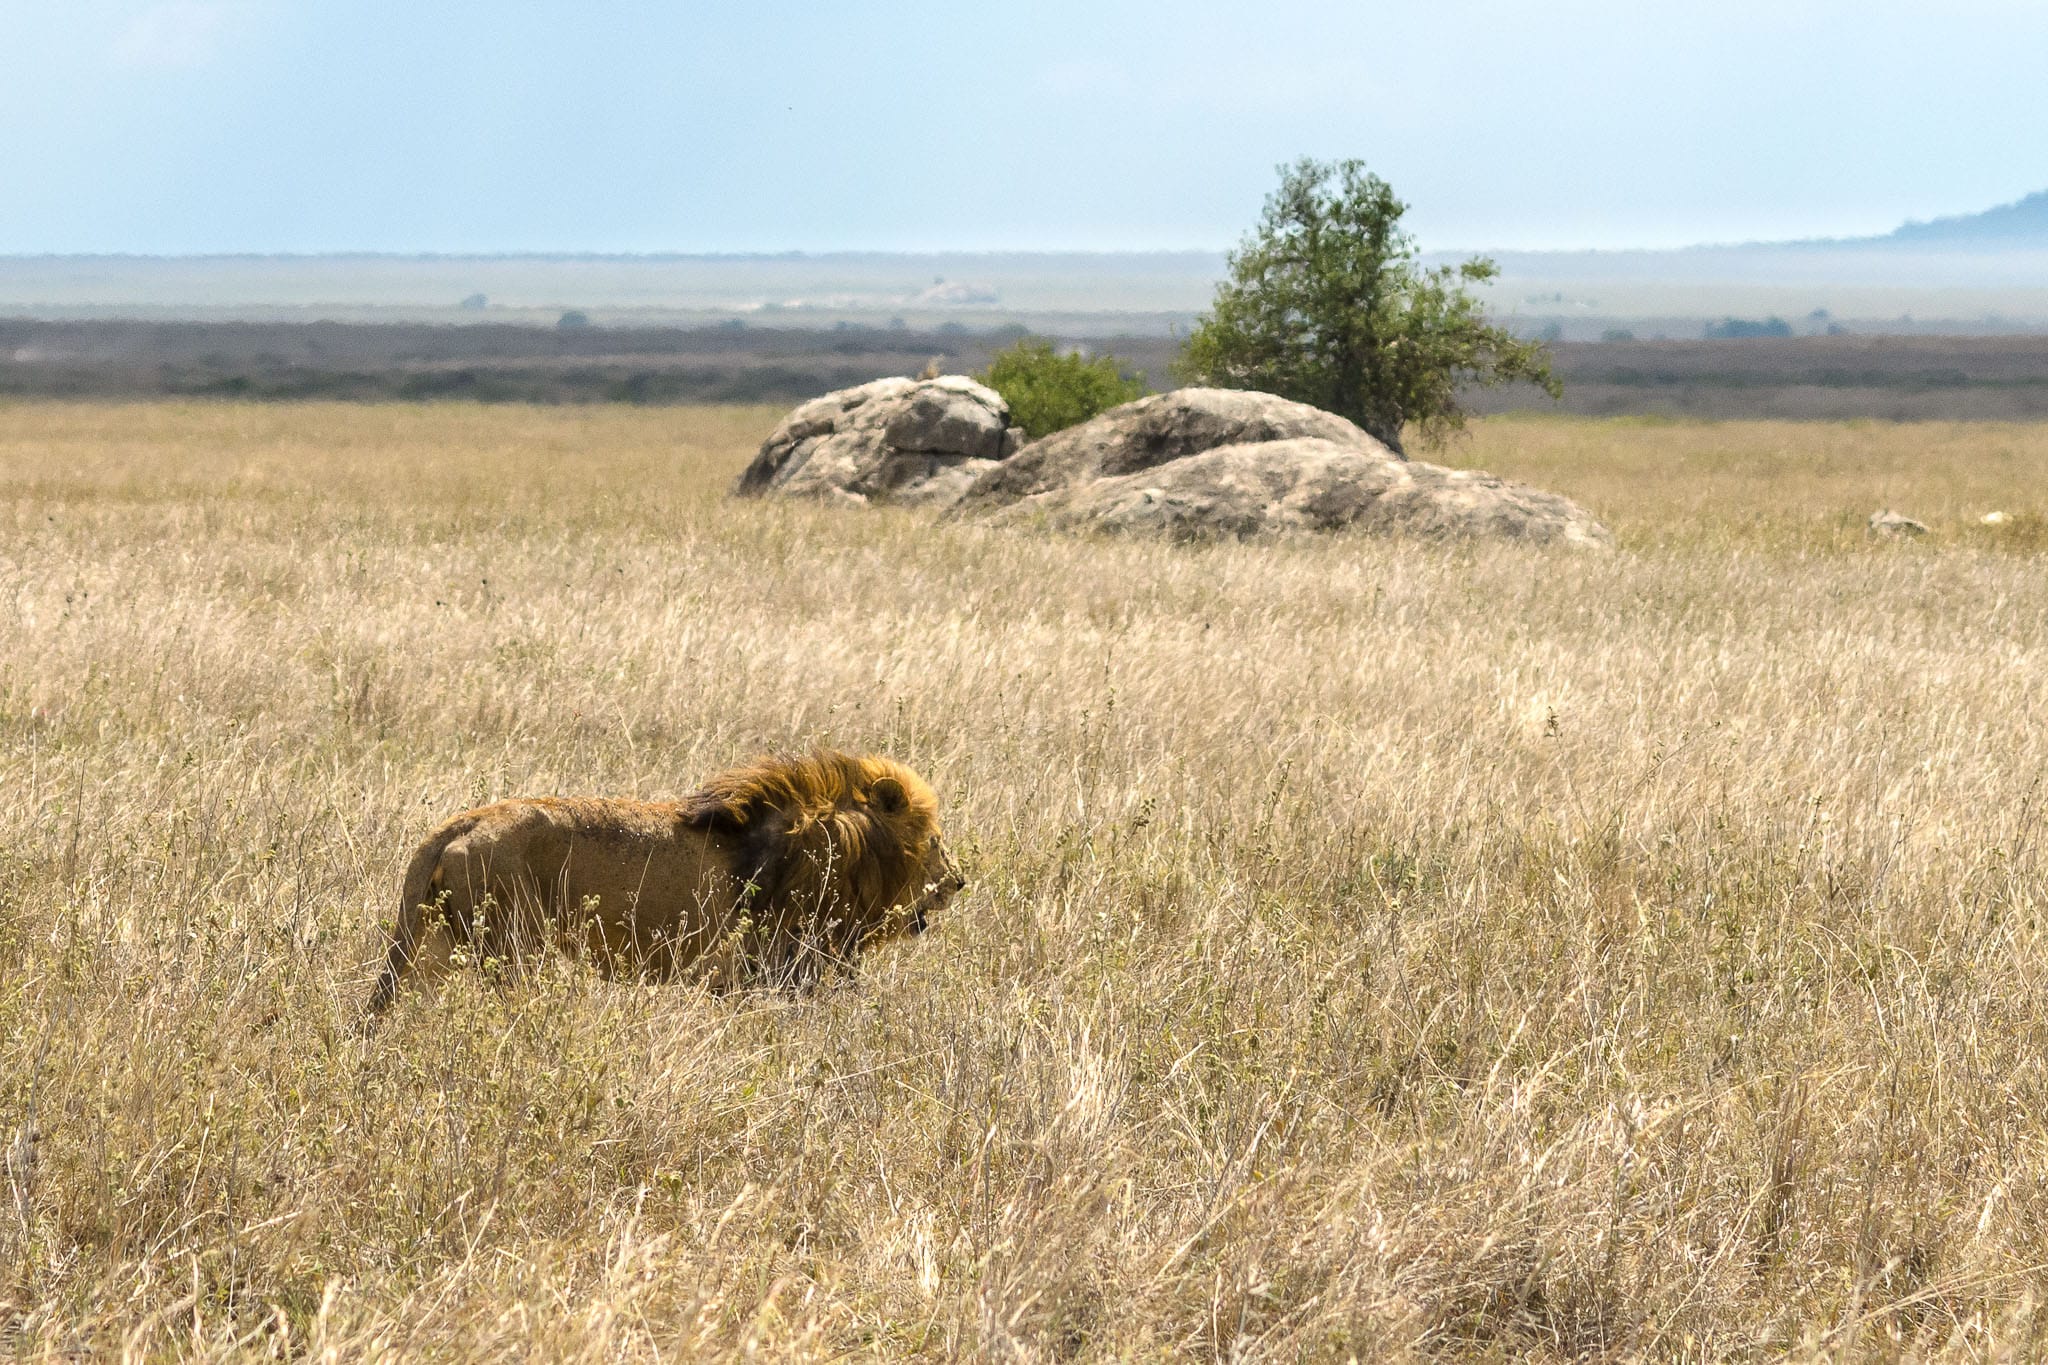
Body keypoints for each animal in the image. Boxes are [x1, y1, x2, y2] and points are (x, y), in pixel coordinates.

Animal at [365, 750, 963, 1016]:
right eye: (936, 840)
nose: (960, 882)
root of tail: (456, 825)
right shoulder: (781, 969)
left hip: (431, 950)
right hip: (516, 950)